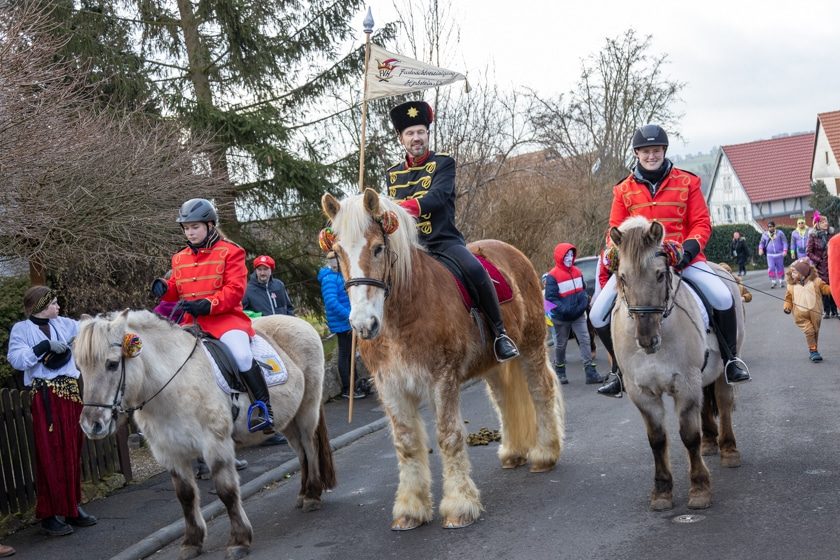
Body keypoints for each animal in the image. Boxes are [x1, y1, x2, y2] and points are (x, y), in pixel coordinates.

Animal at [74, 312, 334, 556]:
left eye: (112, 364)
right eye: (79, 368)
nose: (91, 424)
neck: (174, 385)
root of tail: (297, 320)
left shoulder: (215, 445)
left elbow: (226, 492)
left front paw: (239, 540)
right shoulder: (170, 453)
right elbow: (185, 496)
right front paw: (192, 541)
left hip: (307, 409)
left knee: (310, 447)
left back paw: (312, 496)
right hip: (288, 419)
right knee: (301, 452)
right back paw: (303, 494)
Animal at [322, 187, 564, 528]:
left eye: (378, 248)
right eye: (337, 253)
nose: (362, 324)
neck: (402, 315)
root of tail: (511, 252)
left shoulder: (443, 378)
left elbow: (449, 436)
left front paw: (459, 505)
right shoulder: (391, 387)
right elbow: (407, 443)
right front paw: (410, 508)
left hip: (531, 347)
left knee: (541, 392)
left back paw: (545, 453)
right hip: (494, 363)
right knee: (504, 400)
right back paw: (513, 452)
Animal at [612, 215, 740, 512]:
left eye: (660, 274)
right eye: (622, 277)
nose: (646, 339)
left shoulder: (686, 384)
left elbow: (689, 435)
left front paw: (700, 488)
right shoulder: (642, 393)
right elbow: (657, 439)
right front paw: (661, 492)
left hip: (722, 370)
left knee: (723, 401)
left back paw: (728, 450)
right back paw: (710, 444)